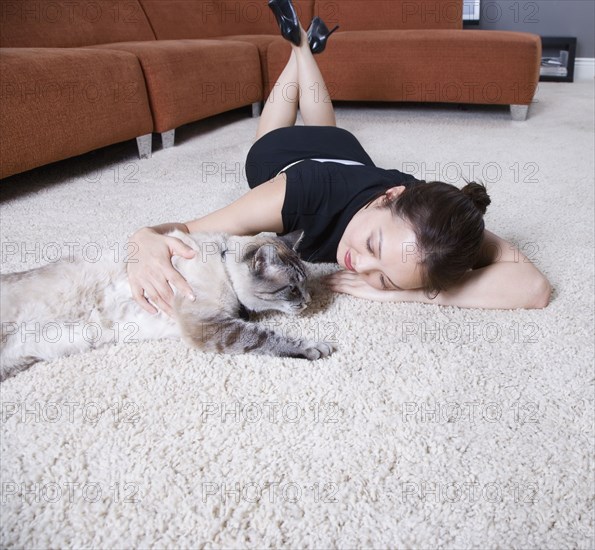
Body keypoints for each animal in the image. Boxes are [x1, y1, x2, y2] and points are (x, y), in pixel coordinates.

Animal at [0, 230, 336, 384]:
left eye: (306, 284)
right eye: (292, 288)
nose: (308, 301)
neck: (222, 263)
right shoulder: (208, 326)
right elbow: (267, 337)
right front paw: (316, 347)